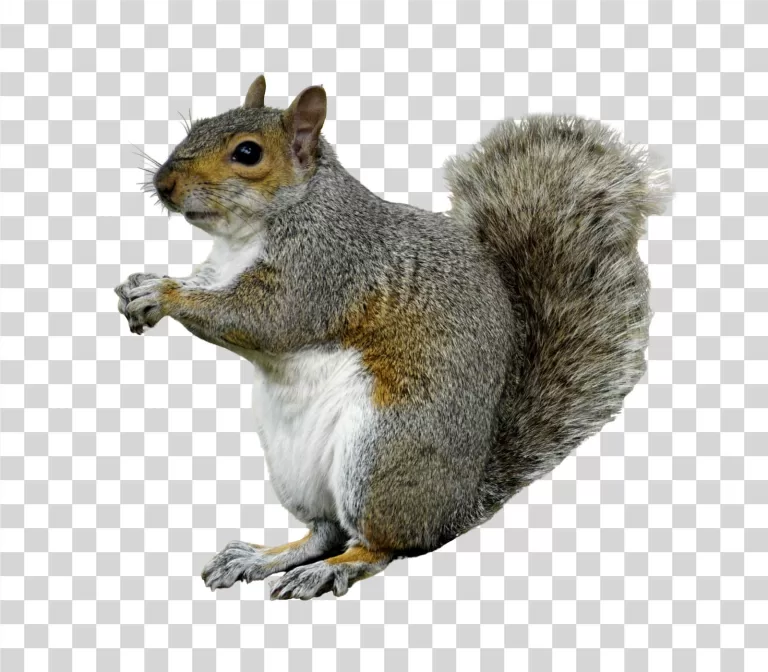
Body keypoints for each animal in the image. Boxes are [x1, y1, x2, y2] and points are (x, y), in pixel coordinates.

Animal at [115, 75, 669, 600]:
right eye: (196, 124)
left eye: (247, 153)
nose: (163, 183)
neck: (248, 233)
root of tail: (455, 505)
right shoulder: (220, 269)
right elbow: (206, 286)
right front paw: (141, 285)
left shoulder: (323, 268)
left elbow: (262, 319)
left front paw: (165, 295)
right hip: (297, 469)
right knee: (326, 531)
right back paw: (265, 557)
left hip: (381, 453)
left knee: (384, 545)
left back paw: (332, 570)